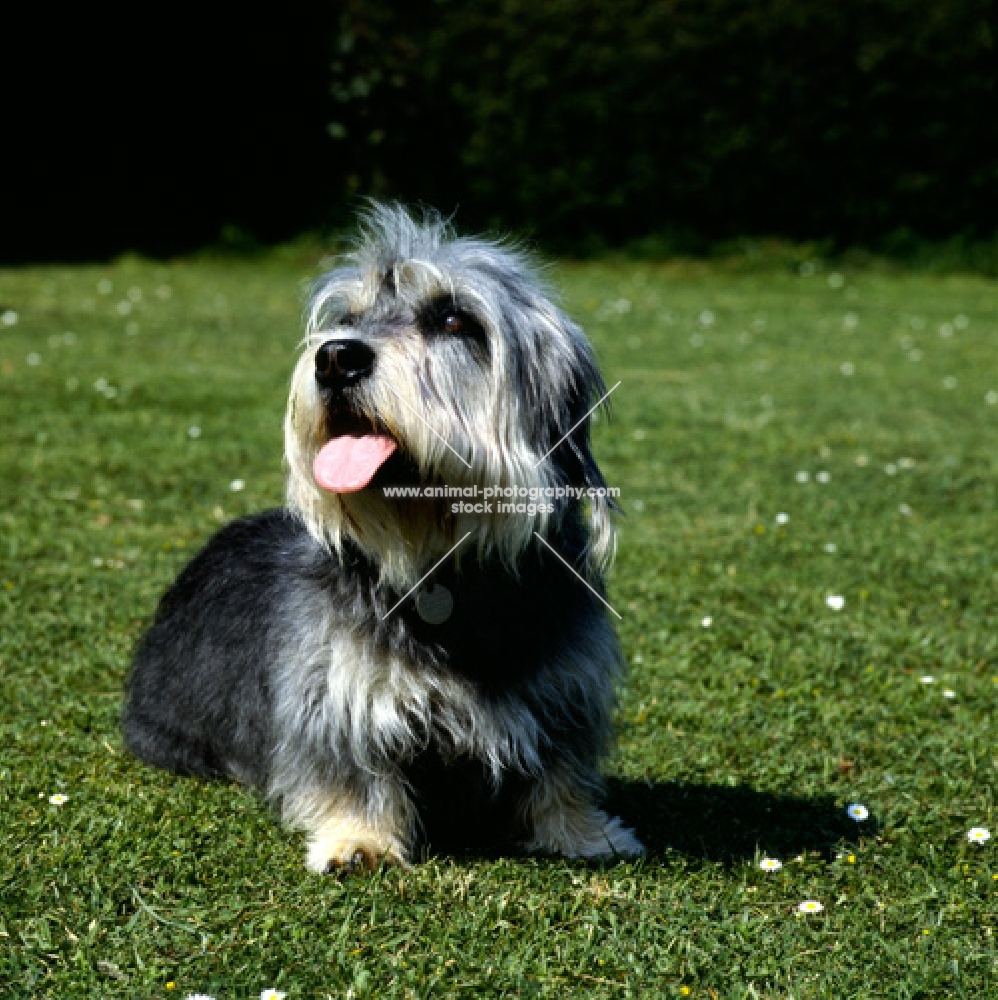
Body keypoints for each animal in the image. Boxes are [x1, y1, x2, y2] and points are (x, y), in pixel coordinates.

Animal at [125, 203, 644, 868]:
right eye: (347, 319)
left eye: (453, 319)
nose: (334, 358)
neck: (439, 567)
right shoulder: (332, 691)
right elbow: (350, 767)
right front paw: (357, 838)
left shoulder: (565, 686)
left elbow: (559, 770)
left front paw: (582, 830)